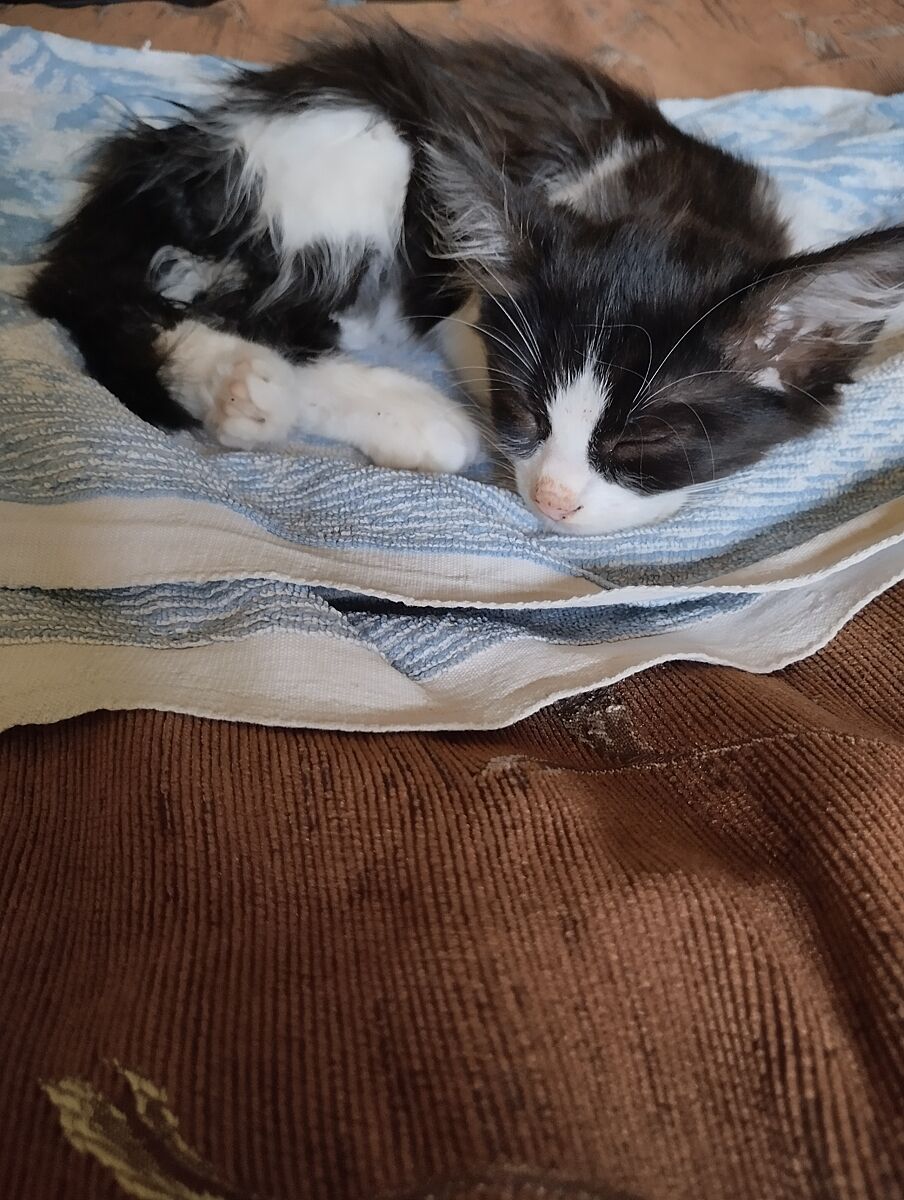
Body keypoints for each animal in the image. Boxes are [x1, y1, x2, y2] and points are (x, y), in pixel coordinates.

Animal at [28, 27, 904, 535]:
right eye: (522, 409)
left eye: (646, 440)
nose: (552, 500)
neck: (663, 195)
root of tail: (167, 152)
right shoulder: (464, 307)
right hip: (355, 143)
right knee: (242, 312)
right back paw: (274, 391)